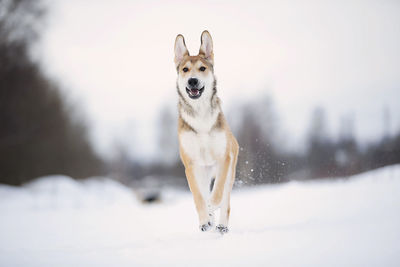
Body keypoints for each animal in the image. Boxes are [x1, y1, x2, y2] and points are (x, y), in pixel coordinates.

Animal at [174, 30, 238, 234]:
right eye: (185, 69)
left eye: (202, 68)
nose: (192, 80)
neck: (200, 113)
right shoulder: (191, 165)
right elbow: (198, 197)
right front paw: (204, 219)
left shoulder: (224, 158)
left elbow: (217, 191)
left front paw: (212, 206)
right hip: (202, 171)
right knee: (203, 192)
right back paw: (209, 220)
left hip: (230, 168)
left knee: (225, 198)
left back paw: (221, 224)